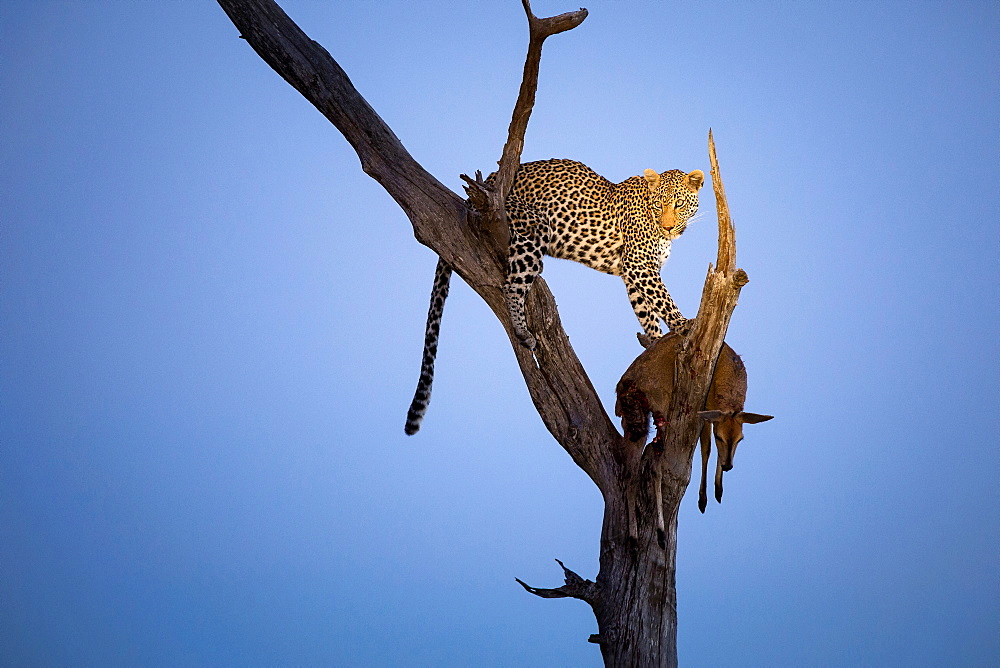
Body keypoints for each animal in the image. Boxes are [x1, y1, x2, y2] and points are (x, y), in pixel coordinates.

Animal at [404, 159, 704, 436]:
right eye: (659, 206)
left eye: (678, 204)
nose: (668, 227)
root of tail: (483, 184)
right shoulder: (638, 264)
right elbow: (662, 299)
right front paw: (683, 324)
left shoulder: (632, 273)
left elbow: (647, 311)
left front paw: (654, 344)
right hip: (534, 229)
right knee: (512, 284)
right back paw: (523, 332)